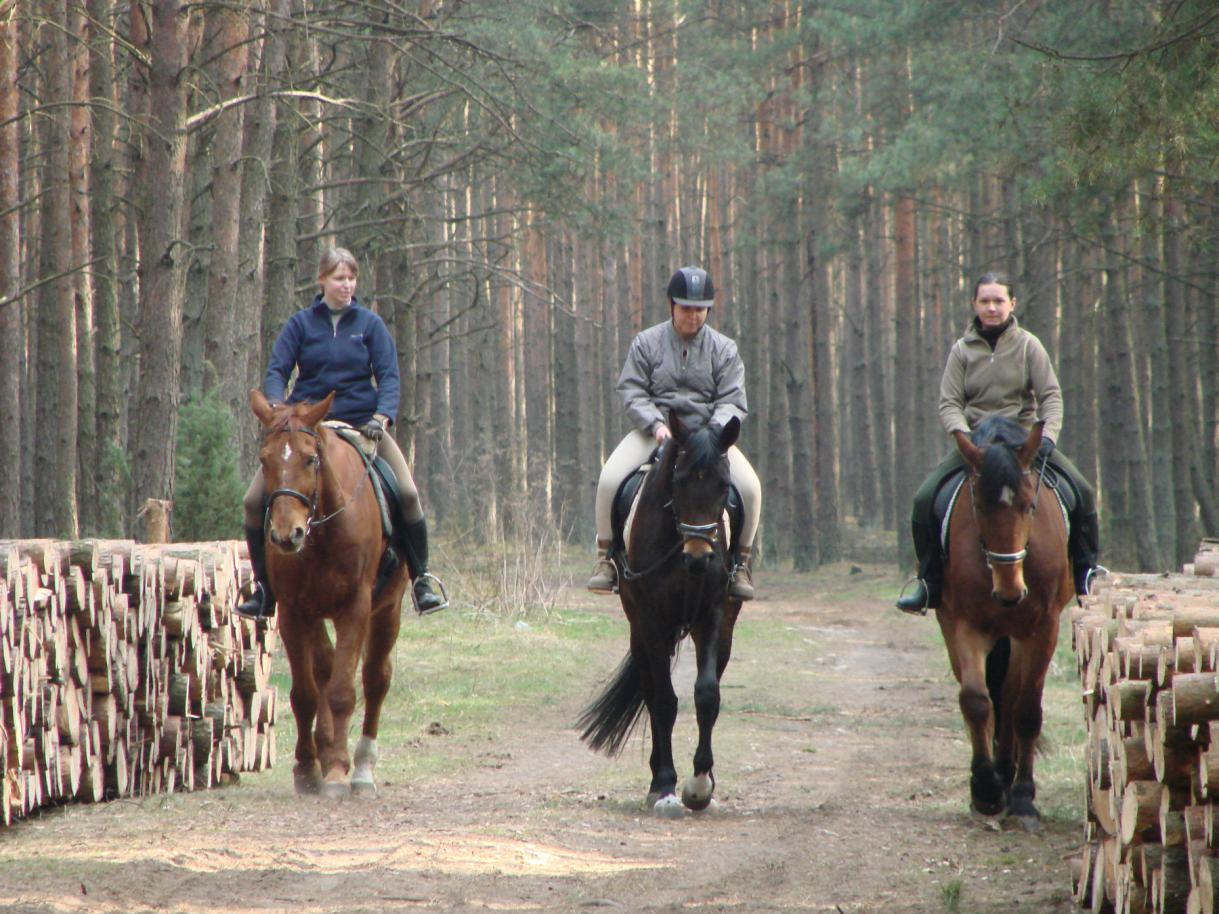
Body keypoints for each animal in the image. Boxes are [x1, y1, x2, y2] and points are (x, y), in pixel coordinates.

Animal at [247, 389, 409, 799]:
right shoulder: (292, 611)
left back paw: (362, 768)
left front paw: (337, 770)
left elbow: (341, 692)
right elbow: (305, 693)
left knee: (375, 679)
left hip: (388, 609)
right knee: (325, 666)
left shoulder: (355, 607)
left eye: (310, 458)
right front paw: (308, 768)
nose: (286, 535)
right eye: (264, 459)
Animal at [577, 419, 741, 818]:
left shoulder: (712, 616)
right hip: (641, 630)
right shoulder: (651, 621)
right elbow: (664, 700)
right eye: (678, 481)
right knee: (652, 694)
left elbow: (707, 694)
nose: (699, 558)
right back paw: (656, 783)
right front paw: (667, 788)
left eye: (723, 485)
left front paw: (700, 787)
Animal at [936, 414, 1072, 828]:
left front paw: (1024, 798)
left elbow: (1026, 710)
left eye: (1030, 506)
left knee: (1012, 700)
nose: (1011, 593)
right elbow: (977, 700)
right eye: (978, 506)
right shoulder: (966, 625)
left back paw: (1011, 780)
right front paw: (985, 791)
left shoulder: (1043, 629)